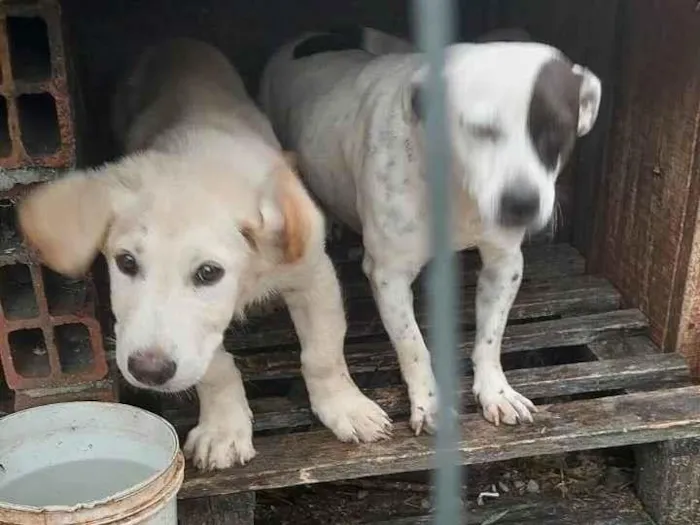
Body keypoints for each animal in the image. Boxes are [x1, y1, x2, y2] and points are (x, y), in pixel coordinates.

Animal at [17, 39, 388, 468]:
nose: (148, 371)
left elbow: (324, 351)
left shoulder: (313, 274)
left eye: (209, 273)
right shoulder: (199, 345)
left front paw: (346, 408)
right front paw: (223, 431)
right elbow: (217, 368)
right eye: (126, 262)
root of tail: (173, 43)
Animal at [262, 27, 600, 434]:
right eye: (481, 130)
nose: (521, 203)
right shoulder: (389, 276)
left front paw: (496, 391)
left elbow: (491, 337)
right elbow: (414, 347)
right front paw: (430, 404)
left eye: (556, 130)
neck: (459, 191)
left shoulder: (504, 263)